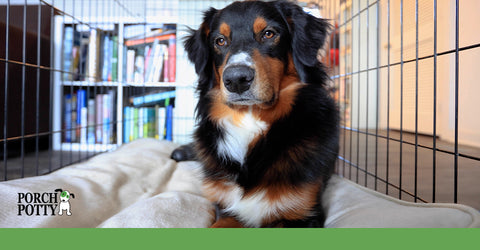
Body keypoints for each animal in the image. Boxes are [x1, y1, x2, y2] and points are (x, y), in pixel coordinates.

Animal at [172, 0, 338, 227]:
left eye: (269, 33)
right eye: (220, 41)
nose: (236, 79)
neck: (250, 119)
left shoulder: (302, 213)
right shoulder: (225, 207)